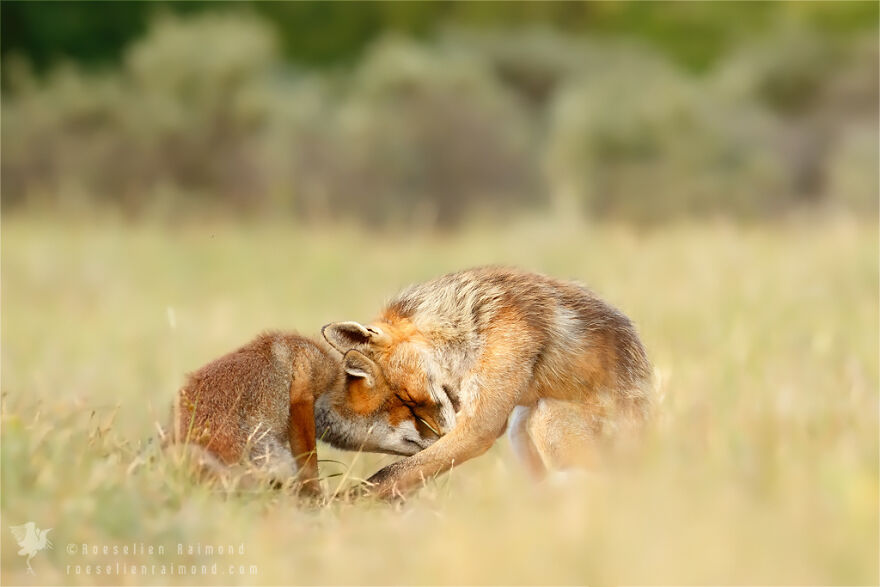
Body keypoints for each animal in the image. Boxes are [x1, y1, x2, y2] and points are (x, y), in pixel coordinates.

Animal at [324, 268, 652, 498]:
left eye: (409, 397)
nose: (439, 435)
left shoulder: (479, 425)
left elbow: (389, 474)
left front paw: (339, 509)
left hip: (548, 415)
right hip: (521, 426)